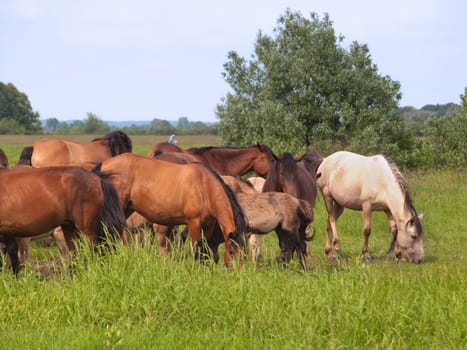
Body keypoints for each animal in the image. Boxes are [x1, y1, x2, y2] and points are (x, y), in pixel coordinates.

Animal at [93, 153, 250, 266]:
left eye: (244, 252)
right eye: (231, 251)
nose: (237, 272)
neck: (205, 186)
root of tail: (104, 166)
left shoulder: (208, 225)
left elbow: (204, 249)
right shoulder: (194, 223)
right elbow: (196, 248)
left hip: (126, 210)